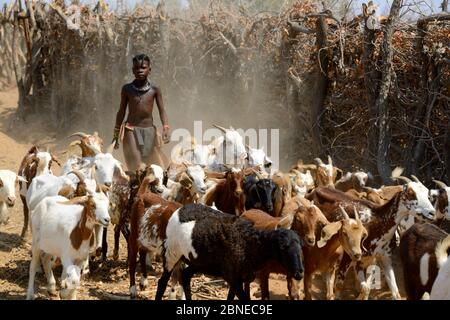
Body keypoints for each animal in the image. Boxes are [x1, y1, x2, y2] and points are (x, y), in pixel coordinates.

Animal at [156, 205, 306, 300]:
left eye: (301, 247)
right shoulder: (232, 278)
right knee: (162, 282)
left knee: (185, 276)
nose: (299, 273)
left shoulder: (237, 279)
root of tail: (182, 208)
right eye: (283, 247)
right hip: (171, 253)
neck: (249, 243)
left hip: (198, 261)